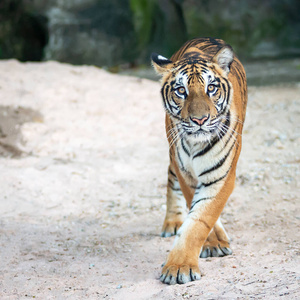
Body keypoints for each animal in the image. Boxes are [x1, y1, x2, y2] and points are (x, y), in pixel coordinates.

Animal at [151, 36, 247, 284]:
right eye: (181, 90)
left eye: (210, 88)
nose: (200, 120)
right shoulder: (185, 171)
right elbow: (196, 214)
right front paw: (208, 245)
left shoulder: (221, 176)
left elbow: (201, 219)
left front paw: (179, 267)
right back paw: (173, 222)